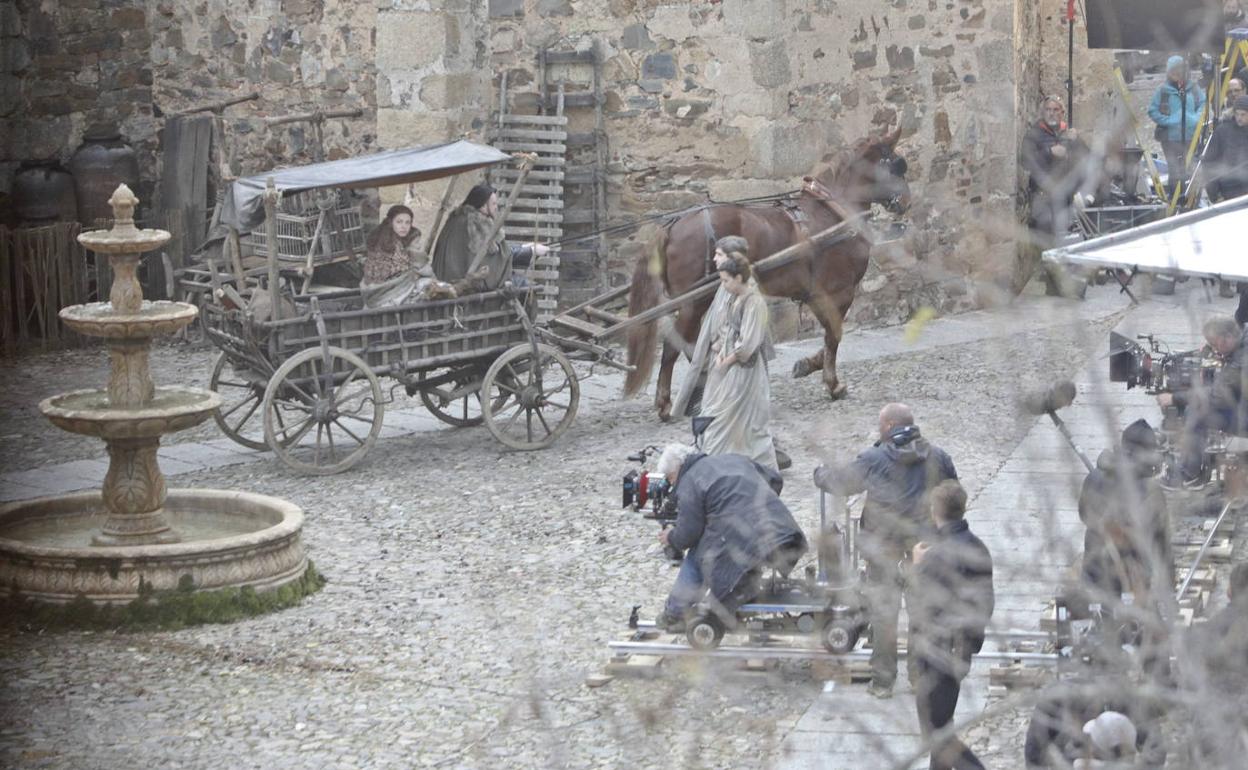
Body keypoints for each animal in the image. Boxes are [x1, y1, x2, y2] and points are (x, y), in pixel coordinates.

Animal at [621, 130, 908, 419]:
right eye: (897, 164)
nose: (906, 200)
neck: (833, 212)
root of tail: (674, 225)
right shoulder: (839, 291)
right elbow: (834, 334)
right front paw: (833, 384)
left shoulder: (816, 294)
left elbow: (830, 334)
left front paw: (807, 365)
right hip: (694, 300)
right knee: (675, 346)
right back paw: (668, 403)